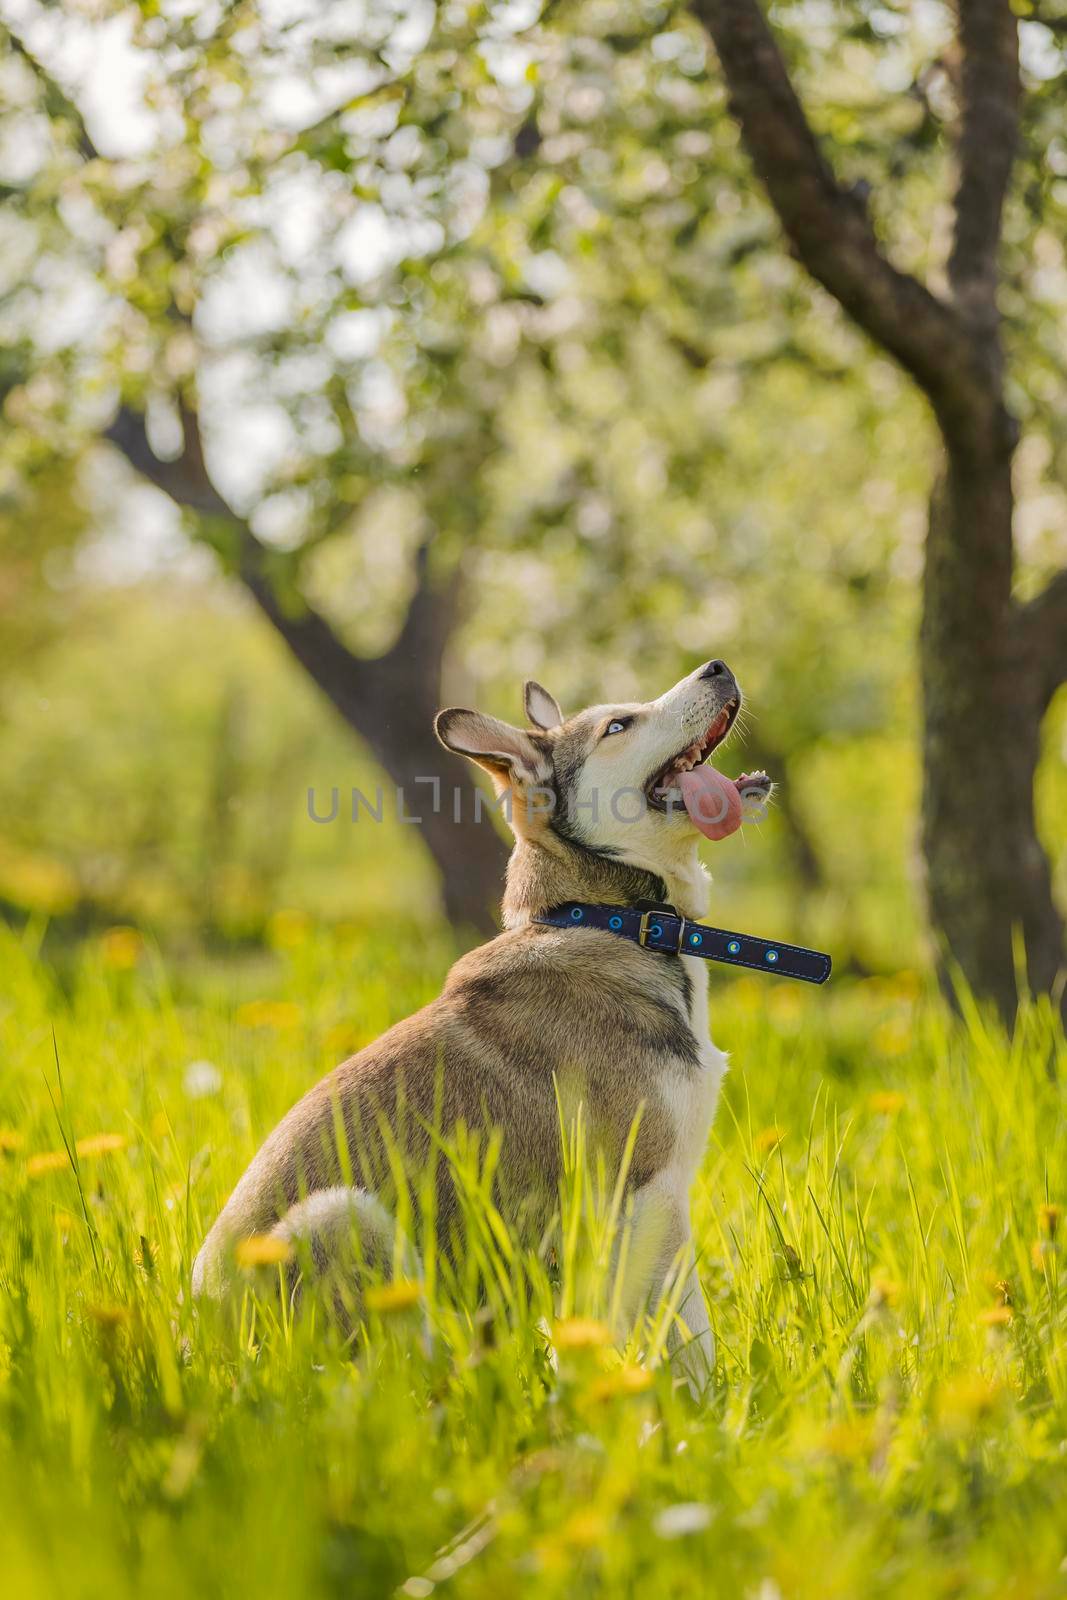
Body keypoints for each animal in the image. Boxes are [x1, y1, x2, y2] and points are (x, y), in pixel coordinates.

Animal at [191, 656, 771, 1395]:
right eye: (619, 725)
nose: (717, 665)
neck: (612, 921)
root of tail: (197, 1342)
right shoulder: (648, 1193)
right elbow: (688, 1339)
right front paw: (699, 1415)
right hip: (344, 1215)